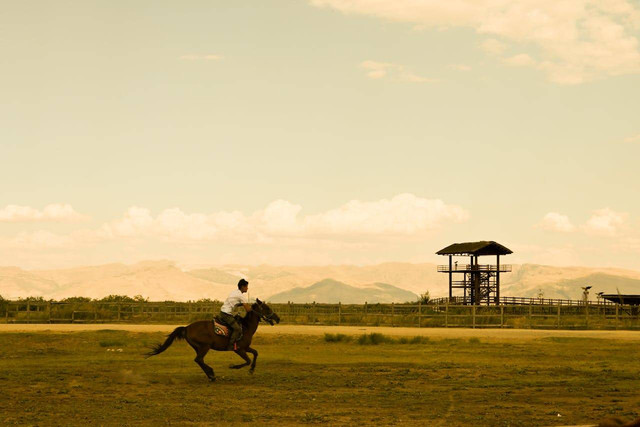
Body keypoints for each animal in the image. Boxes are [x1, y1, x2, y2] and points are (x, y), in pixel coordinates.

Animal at [148, 300, 282, 382]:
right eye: (266, 308)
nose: (278, 318)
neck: (245, 327)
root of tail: (186, 328)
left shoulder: (246, 347)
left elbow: (255, 353)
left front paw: (252, 369)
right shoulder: (238, 349)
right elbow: (247, 360)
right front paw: (234, 366)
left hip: (199, 348)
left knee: (199, 360)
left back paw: (210, 375)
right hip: (204, 347)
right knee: (198, 359)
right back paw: (211, 374)